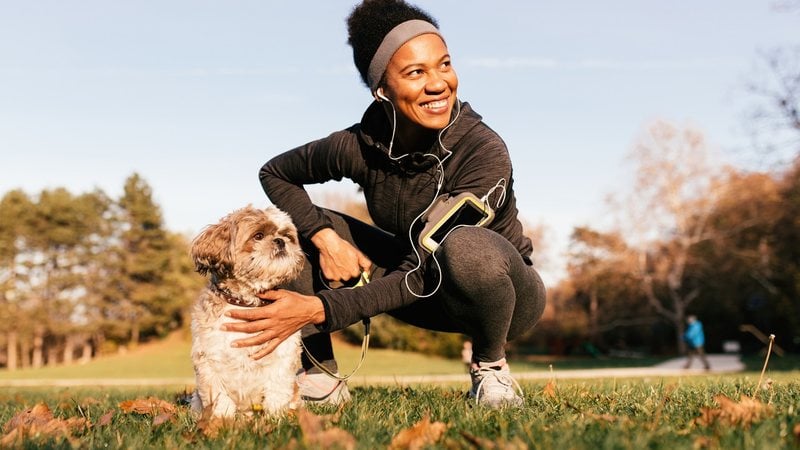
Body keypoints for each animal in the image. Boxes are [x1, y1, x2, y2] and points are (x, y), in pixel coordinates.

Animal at [188, 207, 306, 418]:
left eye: (287, 235)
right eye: (258, 236)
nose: (280, 241)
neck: (245, 303)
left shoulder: (281, 359)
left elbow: (277, 392)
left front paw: (276, 419)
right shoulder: (209, 361)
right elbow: (219, 399)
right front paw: (221, 421)